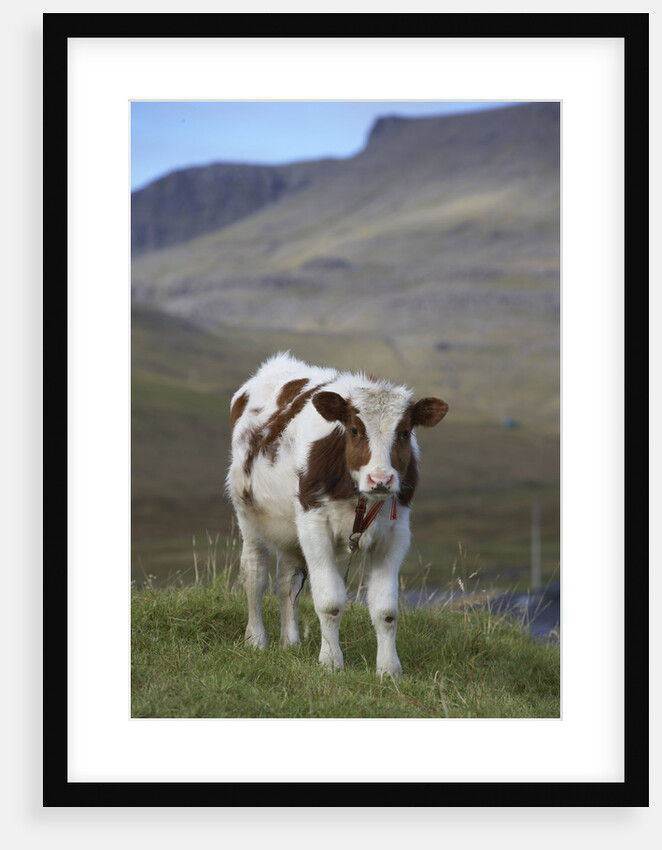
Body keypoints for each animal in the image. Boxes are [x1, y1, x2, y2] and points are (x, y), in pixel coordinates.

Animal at [226, 352, 448, 677]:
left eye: (405, 432)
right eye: (354, 430)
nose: (380, 480)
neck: (358, 496)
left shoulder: (394, 534)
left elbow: (386, 610)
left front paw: (389, 669)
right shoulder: (315, 526)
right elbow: (329, 602)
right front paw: (331, 661)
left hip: (291, 529)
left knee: (287, 581)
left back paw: (290, 642)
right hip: (249, 516)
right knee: (254, 574)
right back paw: (256, 639)